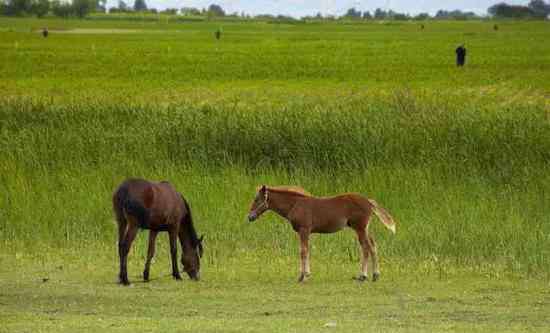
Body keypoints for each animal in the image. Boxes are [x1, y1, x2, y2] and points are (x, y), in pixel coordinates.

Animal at [247, 185, 396, 282]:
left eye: (256, 199)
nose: (250, 217)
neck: (295, 204)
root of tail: (369, 201)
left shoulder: (304, 230)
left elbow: (303, 251)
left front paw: (302, 276)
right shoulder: (306, 232)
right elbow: (307, 250)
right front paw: (307, 274)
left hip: (359, 228)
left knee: (366, 247)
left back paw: (363, 276)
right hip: (364, 229)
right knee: (373, 245)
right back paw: (375, 275)